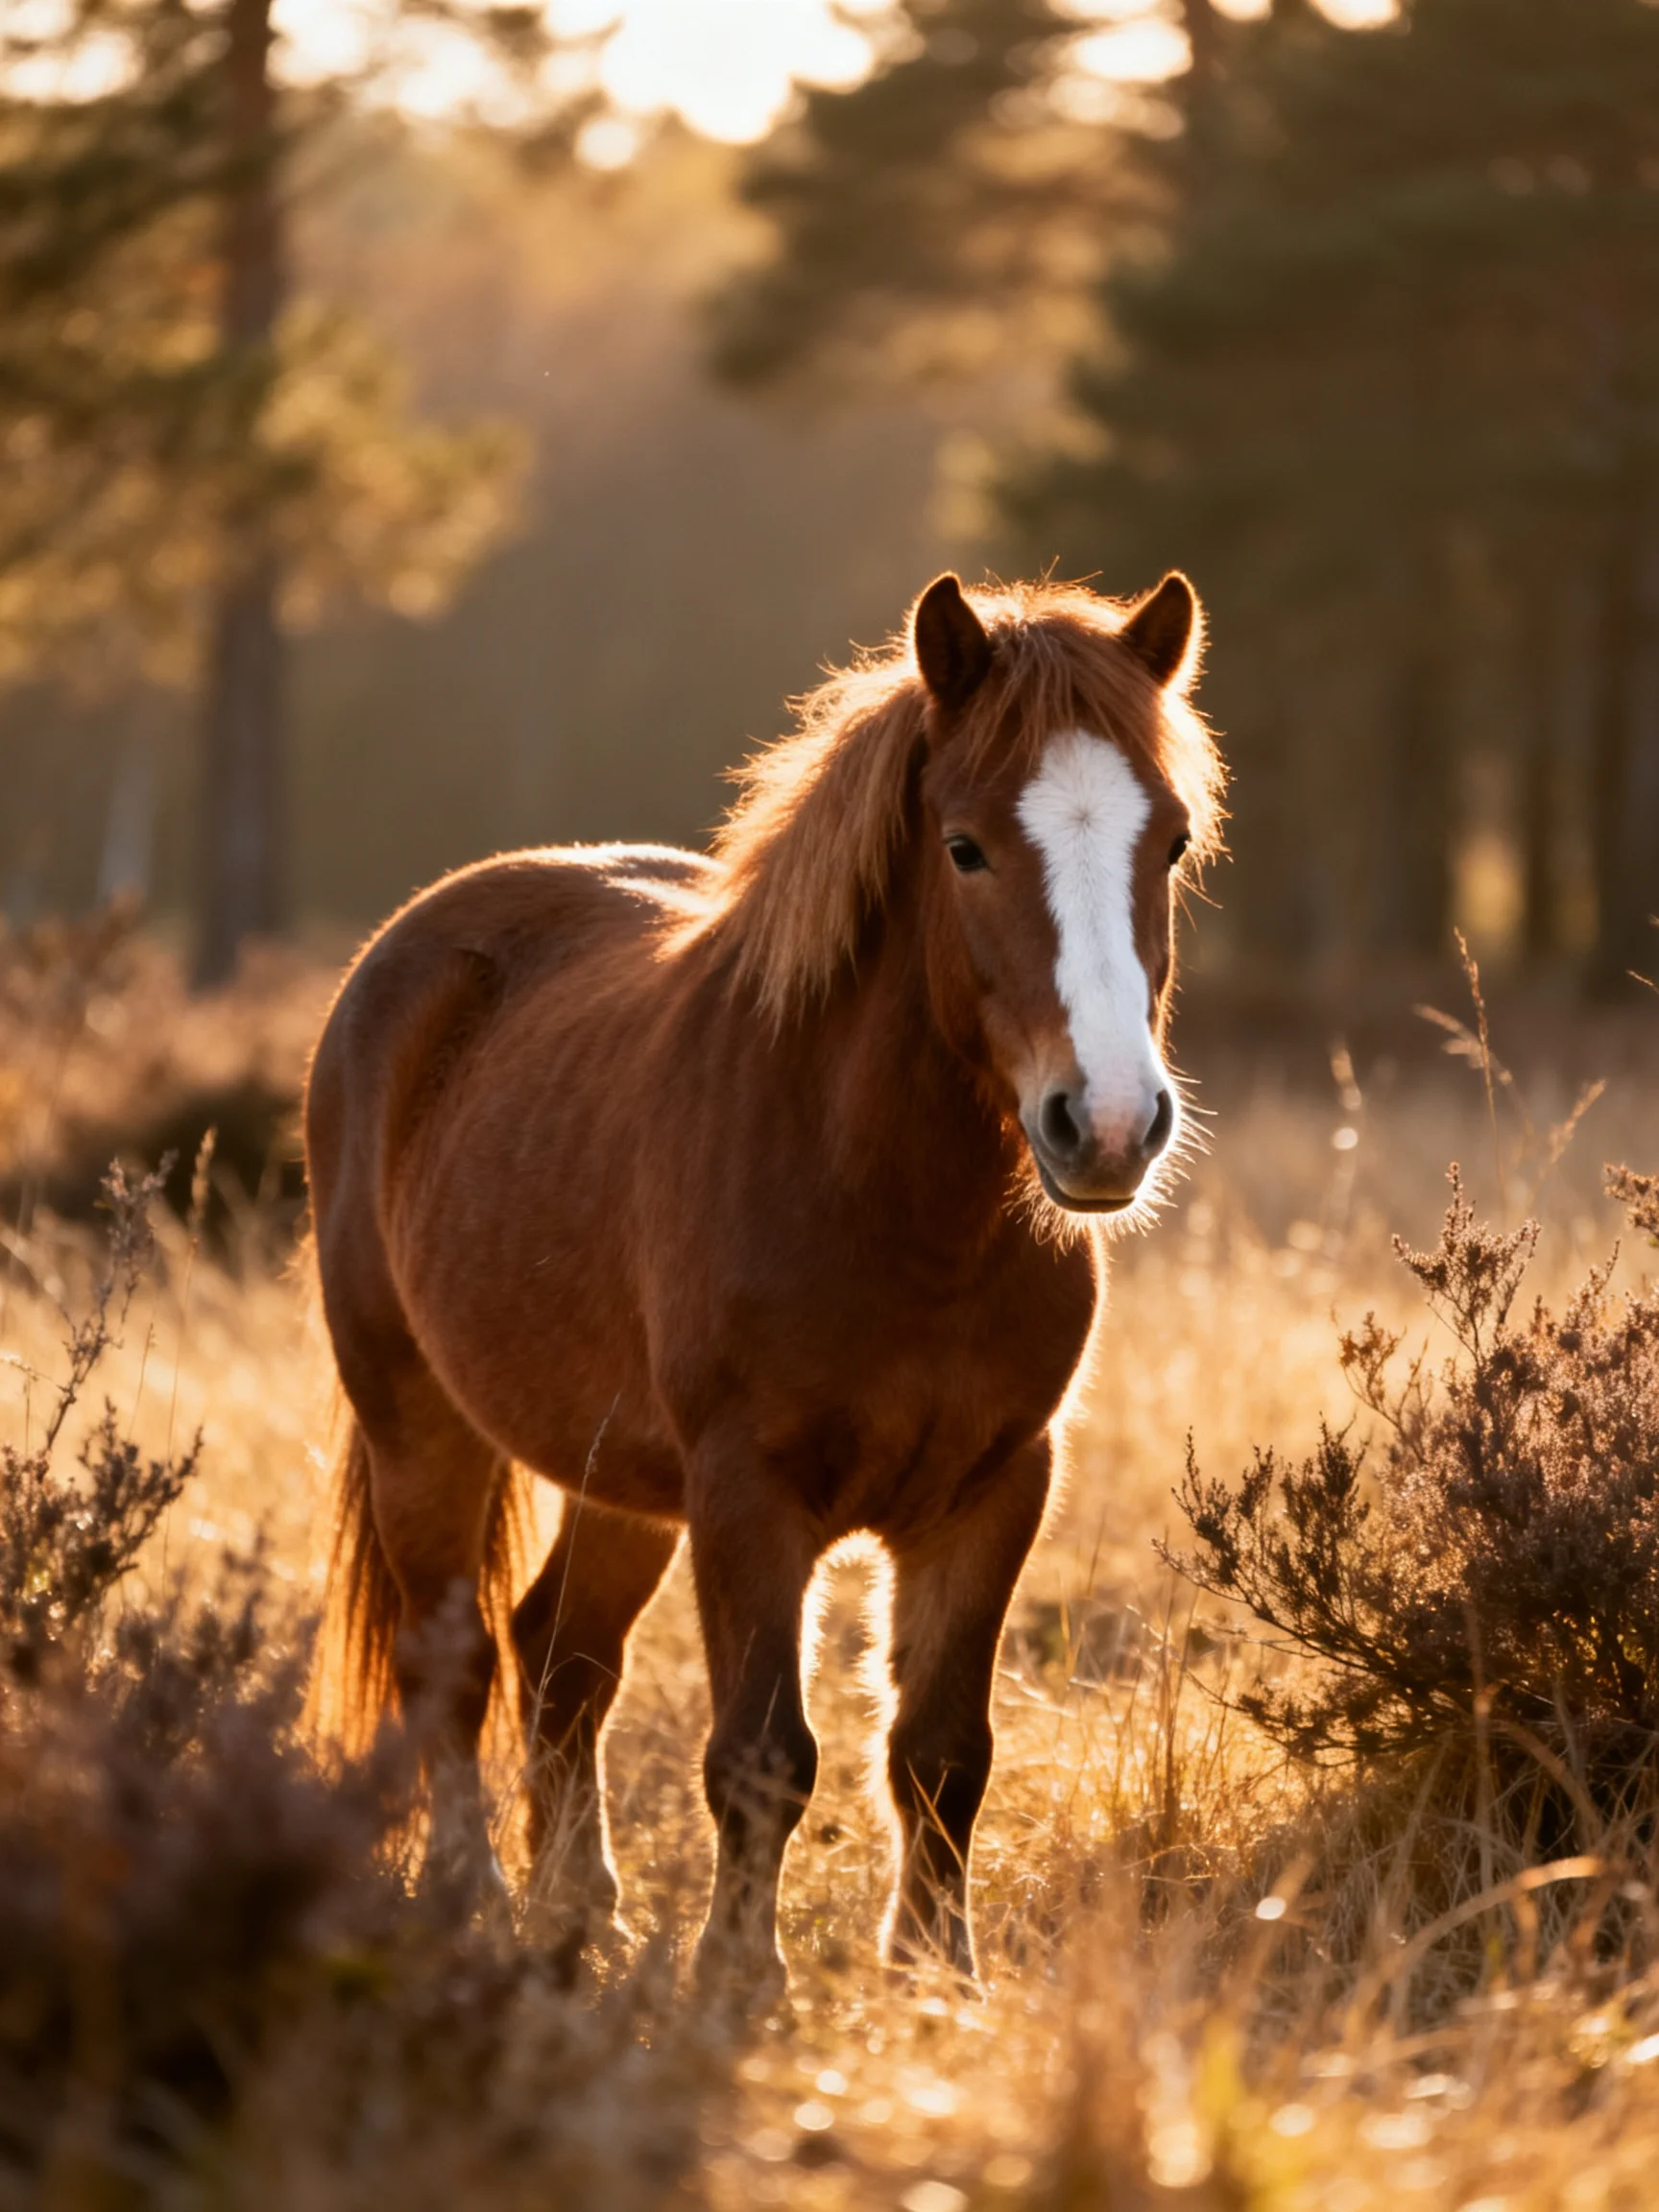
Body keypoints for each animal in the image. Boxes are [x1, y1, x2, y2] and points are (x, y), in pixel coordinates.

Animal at [307, 569, 1224, 1989]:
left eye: (1169, 843)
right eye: (965, 847)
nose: (1111, 1126)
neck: (895, 1210)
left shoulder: (995, 1487)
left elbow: (942, 1752)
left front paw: (937, 1984)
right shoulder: (748, 1492)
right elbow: (760, 1757)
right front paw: (737, 1984)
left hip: (619, 1473)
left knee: (561, 1655)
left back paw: (581, 1915)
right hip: (419, 1424)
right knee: (449, 1668)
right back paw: (475, 1911)